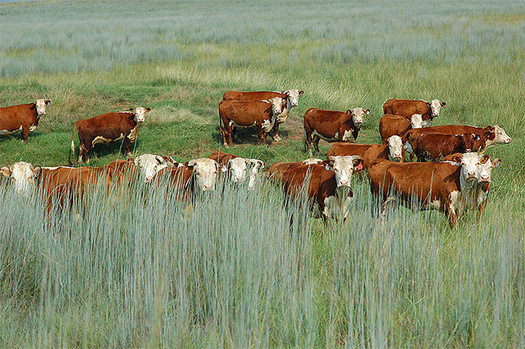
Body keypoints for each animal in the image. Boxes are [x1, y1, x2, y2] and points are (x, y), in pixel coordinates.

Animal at [366, 151, 502, 227]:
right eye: (463, 163)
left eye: (477, 163)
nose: (471, 174)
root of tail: (381, 161)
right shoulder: (448, 204)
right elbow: (454, 224)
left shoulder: (461, 207)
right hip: (379, 199)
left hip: (392, 202)